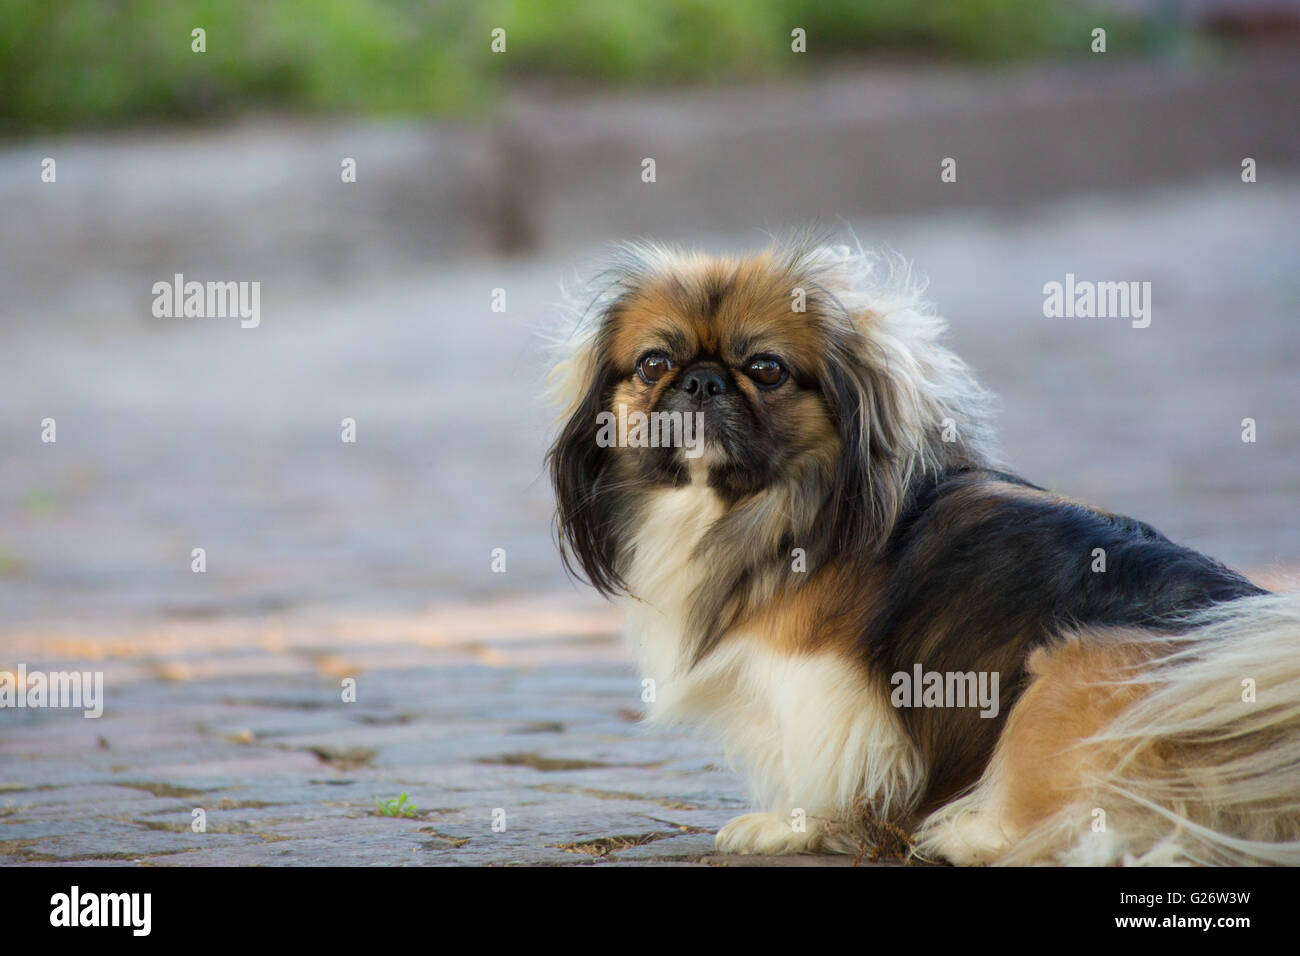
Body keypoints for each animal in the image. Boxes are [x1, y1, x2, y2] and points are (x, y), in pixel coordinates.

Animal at [543, 239, 1300, 868]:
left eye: (766, 368)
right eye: (654, 364)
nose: (702, 381)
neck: (762, 509)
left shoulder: (819, 679)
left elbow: (819, 759)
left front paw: (788, 825)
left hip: (1064, 680)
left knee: (1099, 830)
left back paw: (966, 833)